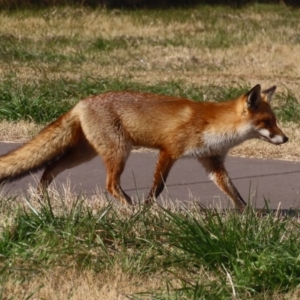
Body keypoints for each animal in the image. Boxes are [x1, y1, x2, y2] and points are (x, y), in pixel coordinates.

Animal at [0, 83, 288, 212]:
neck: (215, 125)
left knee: (49, 167)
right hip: (119, 152)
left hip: (85, 154)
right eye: (267, 122)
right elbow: (157, 186)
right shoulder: (169, 151)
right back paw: (130, 207)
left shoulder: (212, 161)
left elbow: (232, 190)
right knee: (110, 185)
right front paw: (148, 209)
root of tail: (81, 102)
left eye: (275, 121)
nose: (285, 139)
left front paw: (248, 214)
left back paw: (41, 198)